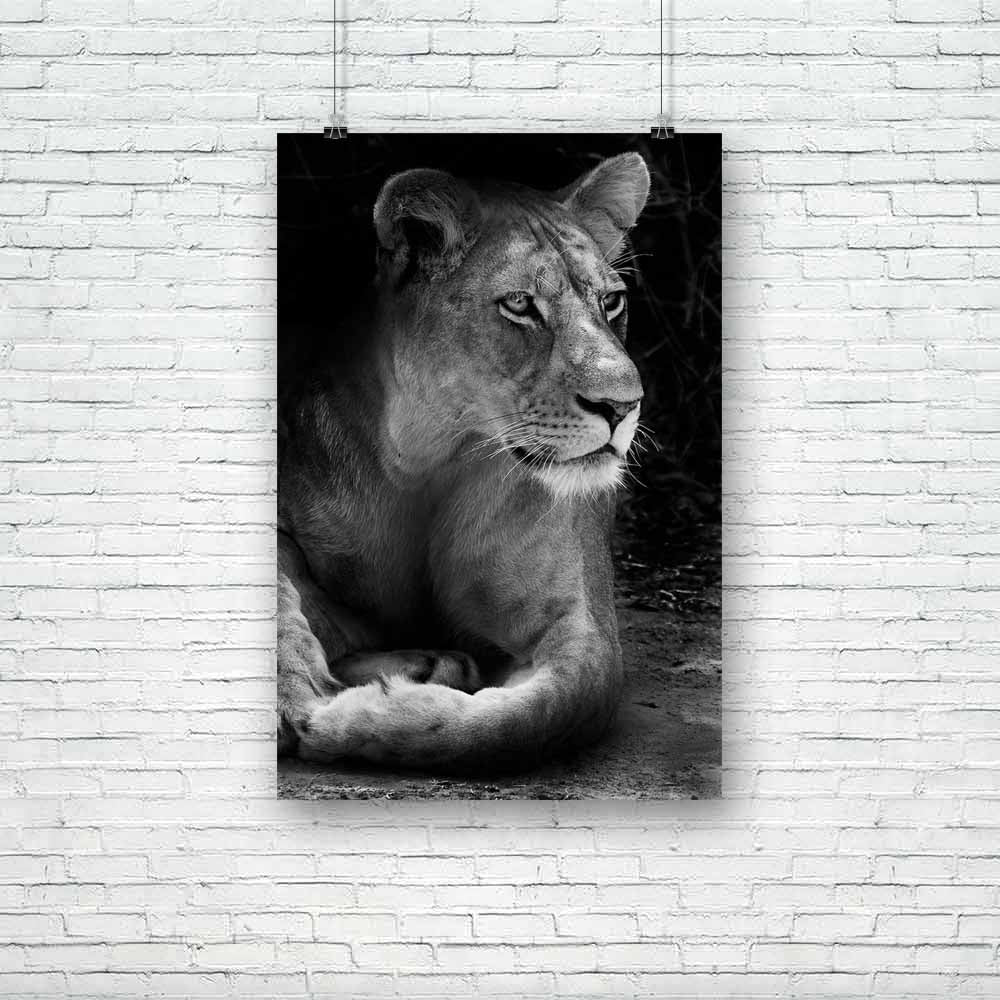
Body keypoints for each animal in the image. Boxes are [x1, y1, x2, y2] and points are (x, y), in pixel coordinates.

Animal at [278, 151, 651, 773]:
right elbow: (283, 602)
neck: (433, 461)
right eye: (520, 304)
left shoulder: (583, 626)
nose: (622, 406)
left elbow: (522, 721)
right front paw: (298, 693)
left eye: (611, 301)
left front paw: (356, 718)